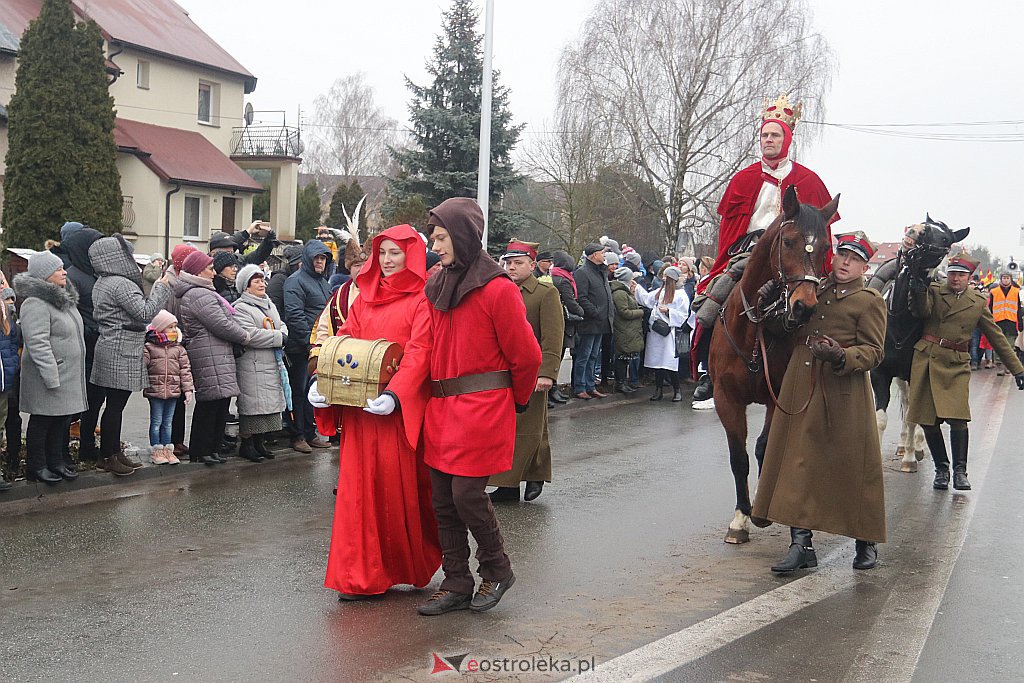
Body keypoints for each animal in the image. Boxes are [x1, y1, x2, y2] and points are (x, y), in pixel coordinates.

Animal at [712, 185, 839, 544]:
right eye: (789, 241)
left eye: (825, 247)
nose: (804, 307)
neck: (754, 331)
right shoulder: (726, 399)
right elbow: (738, 457)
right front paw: (740, 518)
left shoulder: (777, 396)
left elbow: (763, 448)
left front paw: (760, 512)